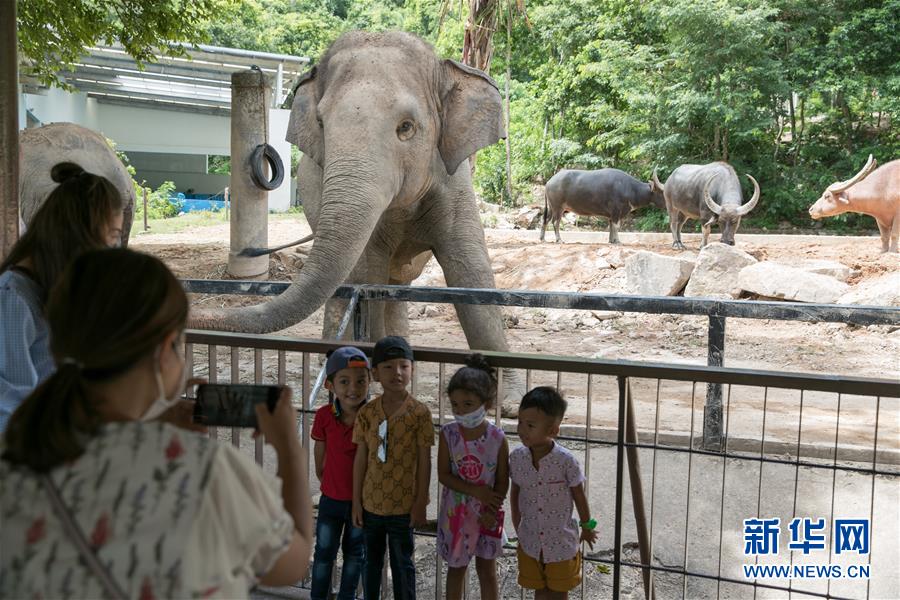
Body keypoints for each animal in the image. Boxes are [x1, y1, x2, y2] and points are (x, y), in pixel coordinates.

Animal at [192, 31, 528, 412]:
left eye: (406, 128)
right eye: (322, 125)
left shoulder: (453, 182)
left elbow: (472, 275)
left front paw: (510, 402)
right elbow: (370, 275)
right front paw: (381, 378)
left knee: (396, 284)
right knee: (351, 281)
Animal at [536, 168, 664, 243]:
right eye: (661, 192)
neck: (630, 189)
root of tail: (549, 182)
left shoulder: (612, 215)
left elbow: (611, 226)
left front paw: (611, 241)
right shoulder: (616, 211)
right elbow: (616, 226)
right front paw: (618, 241)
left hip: (552, 208)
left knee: (545, 220)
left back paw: (542, 239)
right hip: (558, 208)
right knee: (555, 222)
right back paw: (559, 240)